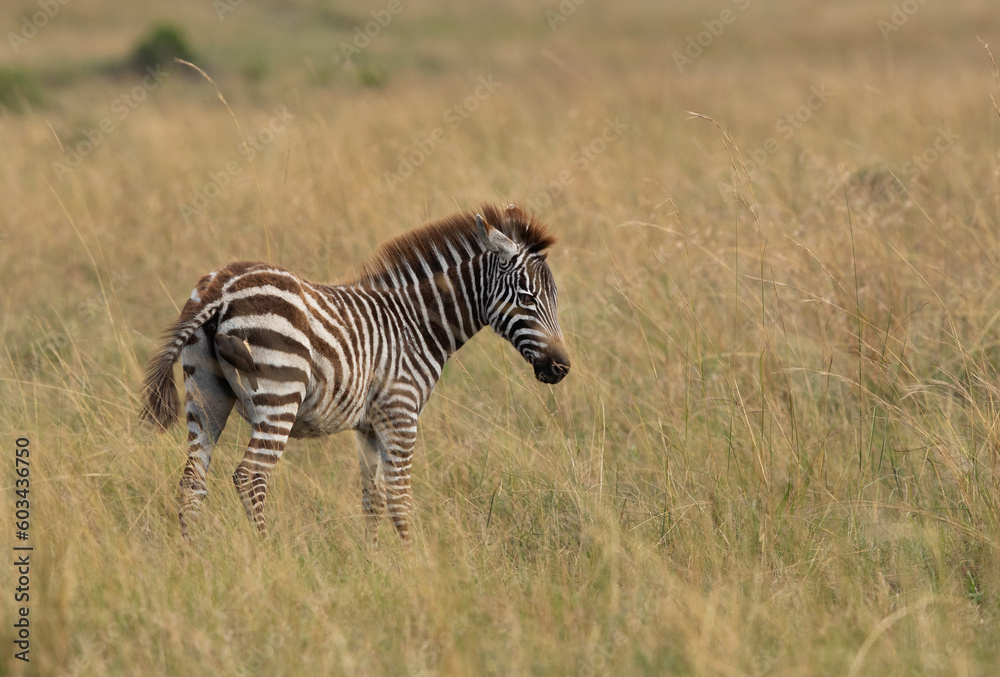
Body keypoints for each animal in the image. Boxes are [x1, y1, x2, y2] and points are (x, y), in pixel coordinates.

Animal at [140, 203, 569, 545]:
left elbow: (372, 498)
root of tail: (222, 287)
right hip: (280, 394)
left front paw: (374, 563)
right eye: (527, 298)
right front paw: (414, 565)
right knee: (251, 477)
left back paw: (192, 557)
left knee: (192, 481)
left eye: (555, 298)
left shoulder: (369, 426)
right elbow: (399, 498)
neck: (415, 324)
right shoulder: (401, 412)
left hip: (205, 392)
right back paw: (271, 557)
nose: (561, 368)